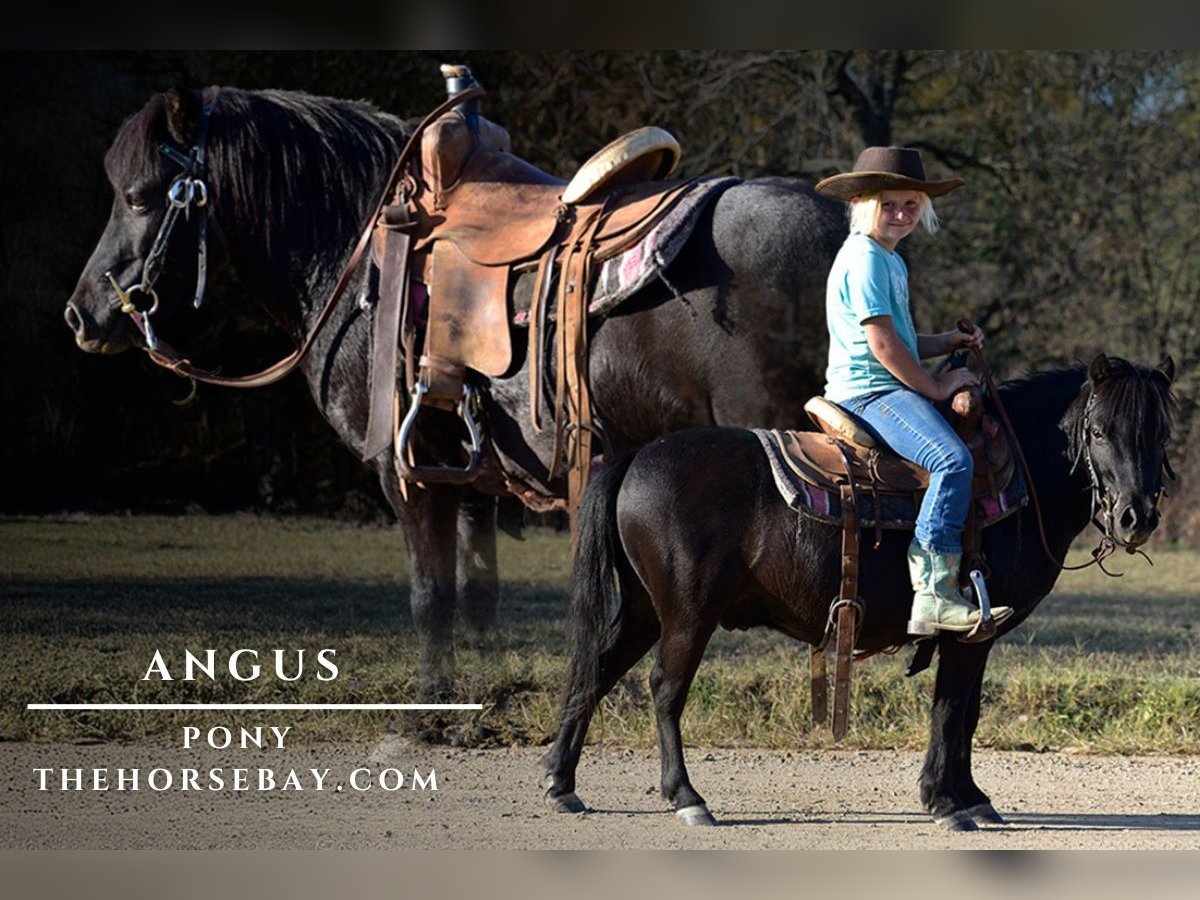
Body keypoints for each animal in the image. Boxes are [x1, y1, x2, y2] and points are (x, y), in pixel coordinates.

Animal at [65, 84, 849, 705]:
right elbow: (477, 595)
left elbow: (430, 595)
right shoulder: (473, 476)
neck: (358, 254)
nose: (84, 315)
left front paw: (428, 711)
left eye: (138, 196)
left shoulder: (405, 469)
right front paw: (483, 697)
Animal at [549, 355, 1176, 835]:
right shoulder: (970, 632)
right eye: (1100, 432)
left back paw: (561, 782)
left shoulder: (981, 634)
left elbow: (967, 711)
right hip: (686, 613)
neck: (1018, 477)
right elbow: (951, 709)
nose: (1136, 517)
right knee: (664, 689)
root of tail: (636, 456)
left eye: (1159, 434)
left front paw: (973, 797)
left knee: (595, 671)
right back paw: (686, 797)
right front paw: (945, 802)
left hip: (643, 610)